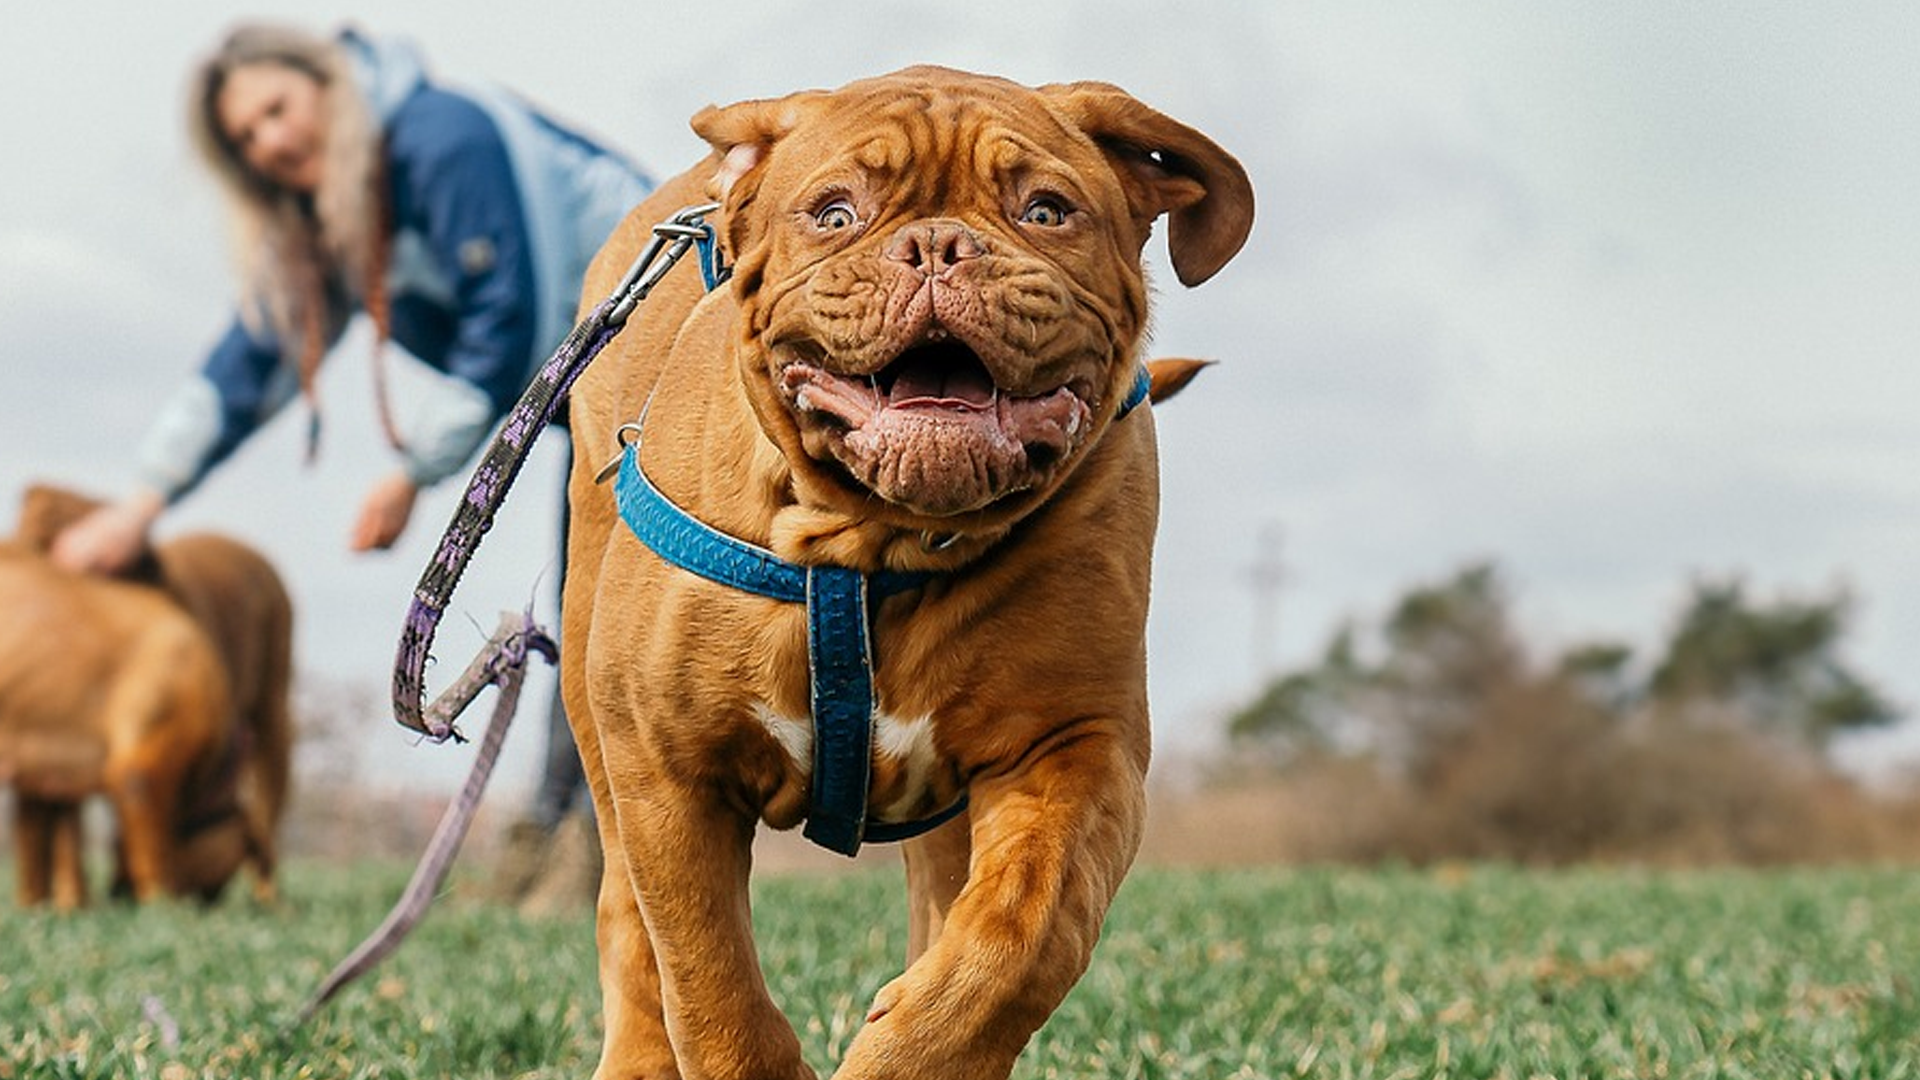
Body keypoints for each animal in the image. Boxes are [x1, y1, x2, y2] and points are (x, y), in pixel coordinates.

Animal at [1, 484, 293, 903]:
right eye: (212, 887)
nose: (116, 893)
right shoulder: (143, 769)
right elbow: (152, 858)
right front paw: (161, 907)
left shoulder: (46, 770)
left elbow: (41, 845)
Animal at [560, 69, 1244, 1076]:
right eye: (835, 214)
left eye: (1046, 211)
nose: (936, 246)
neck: (875, 543)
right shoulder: (670, 771)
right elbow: (710, 984)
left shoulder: (1075, 747)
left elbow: (1021, 936)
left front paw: (910, 1044)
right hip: (596, 711)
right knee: (628, 924)